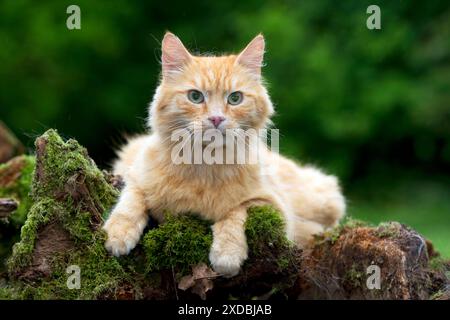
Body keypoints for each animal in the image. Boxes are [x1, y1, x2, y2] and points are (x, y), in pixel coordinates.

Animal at [104, 33, 344, 278]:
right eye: (195, 96)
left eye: (235, 98)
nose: (216, 118)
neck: (204, 164)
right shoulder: (135, 174)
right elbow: (130, 201)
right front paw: (118, 234)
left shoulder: (271, 204)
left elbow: (234, 215)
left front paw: (227, 255)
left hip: (320, 200)